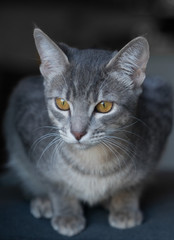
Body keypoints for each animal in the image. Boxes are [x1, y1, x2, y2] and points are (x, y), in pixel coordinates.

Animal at [4, 28, 173, 236]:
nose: (77, 132)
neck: (93, 162)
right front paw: (67, 211)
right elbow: (55, 183)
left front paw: (124, 206)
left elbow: (134, 183)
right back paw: (43, 202)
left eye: (104, 106)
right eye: (62, 103)